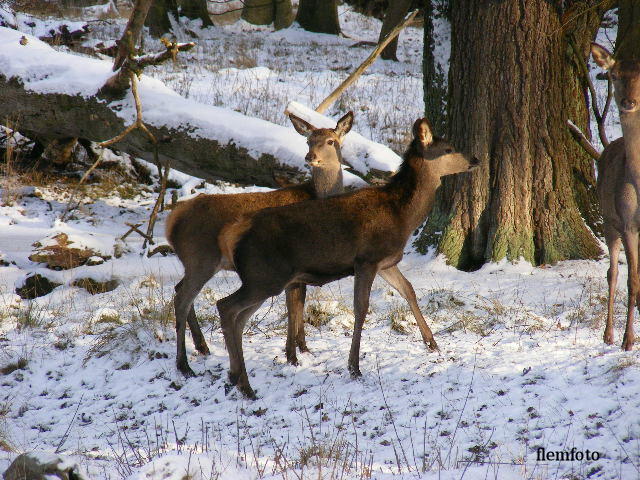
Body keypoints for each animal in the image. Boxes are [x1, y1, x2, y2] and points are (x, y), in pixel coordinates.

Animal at [218, 116, 478, 398]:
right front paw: (354, 366)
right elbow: (361, 308)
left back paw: (236, 377)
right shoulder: (366, 260)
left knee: (239, 317)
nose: (475, 159)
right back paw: (244, 384)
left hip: (263, 279)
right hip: (264, 276)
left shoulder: (385, 262)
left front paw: (431, 342)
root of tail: (233, 235)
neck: (402, 216)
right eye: (449, 149)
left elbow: (408, 290)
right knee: (225, 306)